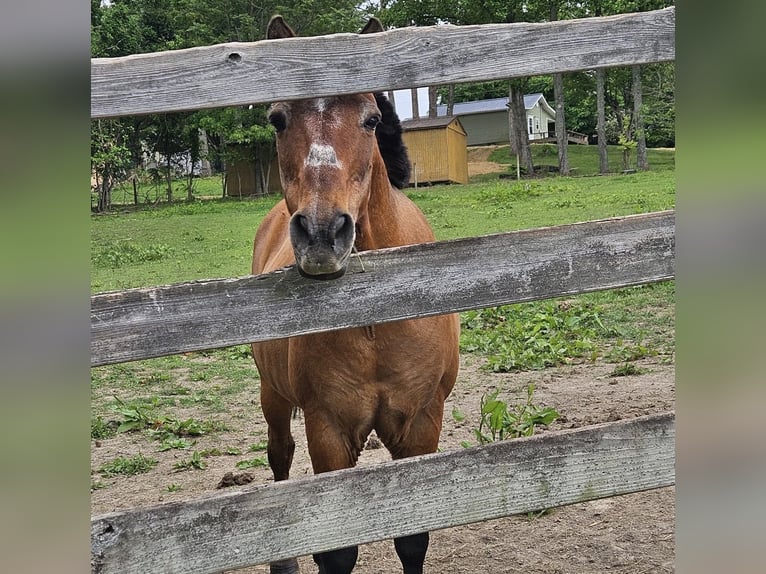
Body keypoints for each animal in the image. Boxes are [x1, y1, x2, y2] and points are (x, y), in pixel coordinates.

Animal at [251, 16, 460, 574]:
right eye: (277, 118)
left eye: (370, 119)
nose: (323, 232)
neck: (373, 316)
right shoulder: (329, 428)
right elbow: (338, 550)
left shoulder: (421, 422)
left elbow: (412, 540)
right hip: (273, 396)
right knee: (279, 456)